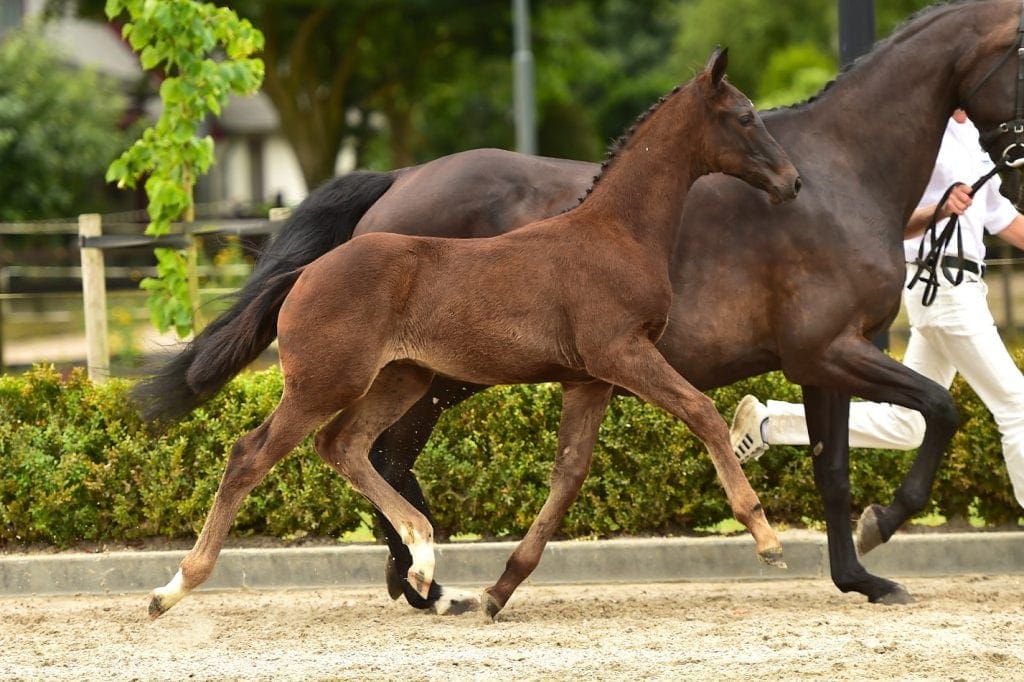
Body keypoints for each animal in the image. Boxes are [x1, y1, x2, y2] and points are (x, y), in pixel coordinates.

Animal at [139, 47, 801, 619]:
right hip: (325, 383)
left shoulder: (587, 380)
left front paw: (496, 591)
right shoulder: (622, 353)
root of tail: (304, 272)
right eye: (746, 116)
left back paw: (424, 558)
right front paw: (765, 536)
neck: (616, 232)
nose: (792, 181)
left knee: (344, 446)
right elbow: (701, 411)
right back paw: (173, 589)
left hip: (402, 379)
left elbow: (569, 473)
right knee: (251, 456)